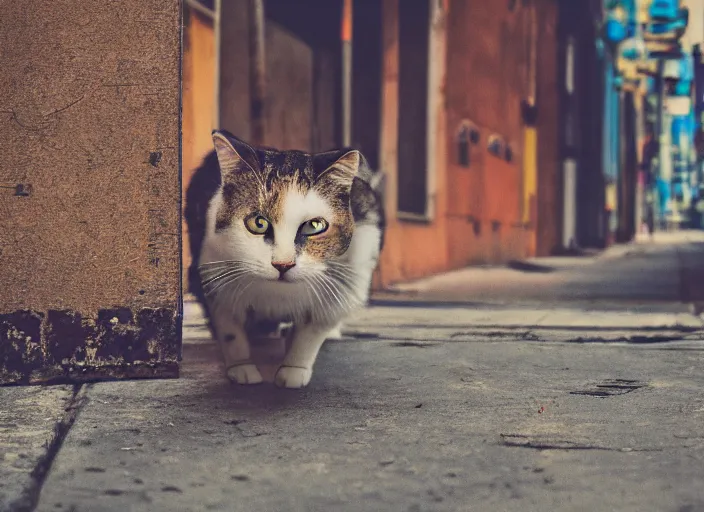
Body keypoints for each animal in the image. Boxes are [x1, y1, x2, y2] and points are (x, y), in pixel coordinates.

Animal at [184, 131, 384, 388]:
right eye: (258, 223)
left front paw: (293, 371)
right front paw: (242, 369)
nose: (283, 264)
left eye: (314, 226)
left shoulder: (346, 282)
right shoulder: (214, 275)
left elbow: (311, 331)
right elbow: (229, 329)